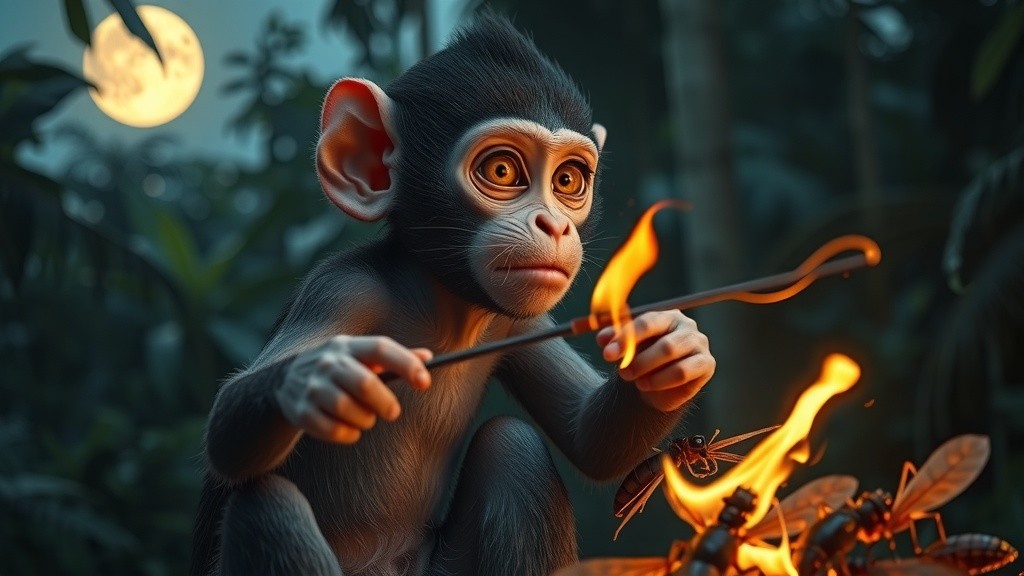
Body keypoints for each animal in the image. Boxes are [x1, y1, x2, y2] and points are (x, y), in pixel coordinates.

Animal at [190, 14, 716, 576]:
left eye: (568, 180)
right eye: (502, 171)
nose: (553, 224)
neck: (443, 308)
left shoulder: (519, 323)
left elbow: (590, 439)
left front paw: (671, 350)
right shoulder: (342, 290)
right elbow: (227, 429)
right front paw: (321, 375)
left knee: (513, 447)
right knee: (267, 503)